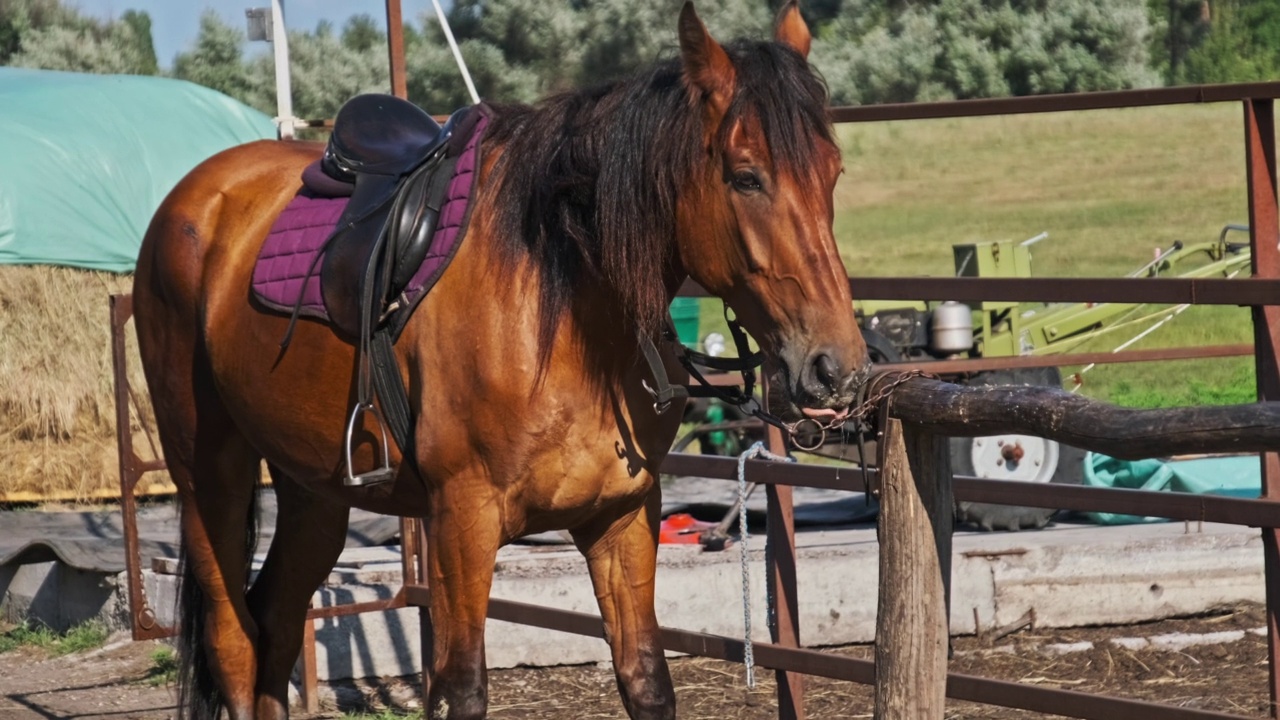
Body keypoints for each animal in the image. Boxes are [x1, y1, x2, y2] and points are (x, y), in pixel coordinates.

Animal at [129, 2, 870, 712]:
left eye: (834, 173)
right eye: (746, 177)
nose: (834, 366)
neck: (563, 312)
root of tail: (198, 195)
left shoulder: (622, 517)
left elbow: (645, 679)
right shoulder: (463, 522)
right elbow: (462, 688)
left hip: (314, 488)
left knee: (277, 622)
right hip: (209, 475)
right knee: (233, 638)